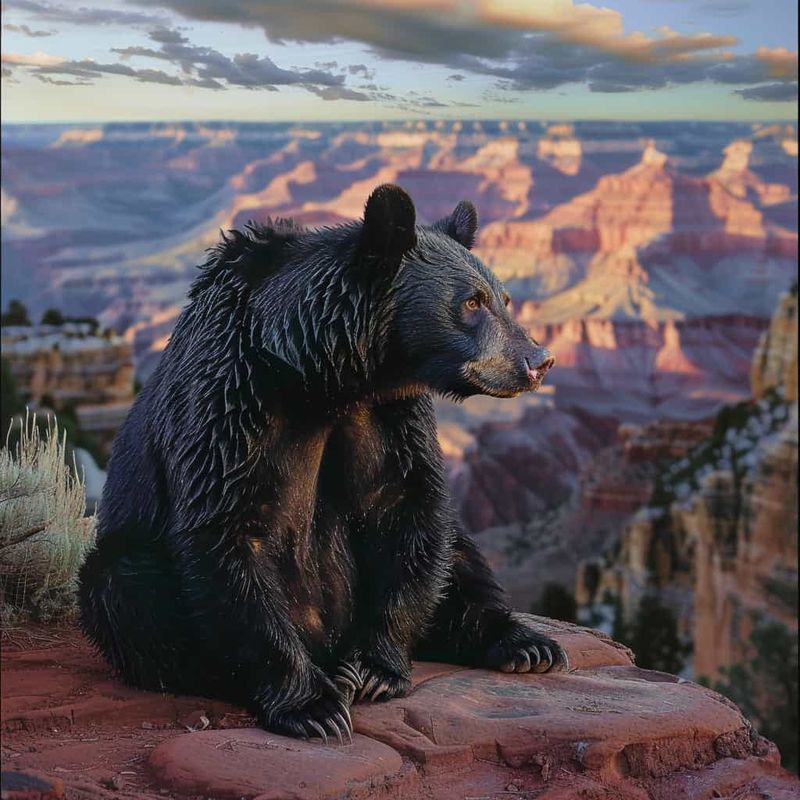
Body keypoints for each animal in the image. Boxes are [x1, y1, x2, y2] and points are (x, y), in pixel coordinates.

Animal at [76, 183, 564, 744]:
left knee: (459, 551)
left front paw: (373, 670)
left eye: (503, 299)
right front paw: (313, 706)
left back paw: (524, 643)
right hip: (128, 559)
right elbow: (225, 531)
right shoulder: (228, 399)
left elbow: (408, 508)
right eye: (471, 302)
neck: (317, 377)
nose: (539, 361)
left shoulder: (389, 414)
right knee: (123, 586)